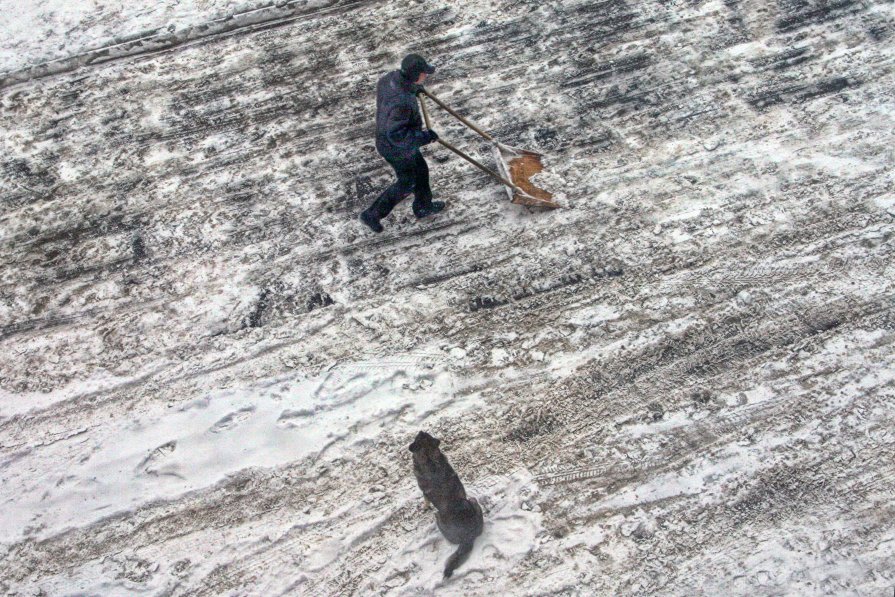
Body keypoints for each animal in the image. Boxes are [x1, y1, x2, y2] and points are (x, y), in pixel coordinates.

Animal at [412, 428, 486, 576]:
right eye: (424, 435)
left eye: (418, 437)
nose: (421, 430)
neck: (430, 460)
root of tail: (467, 537)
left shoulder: (424, 492)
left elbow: (425, 500)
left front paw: (424, 506)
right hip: (473, 501)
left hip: (438, 517)